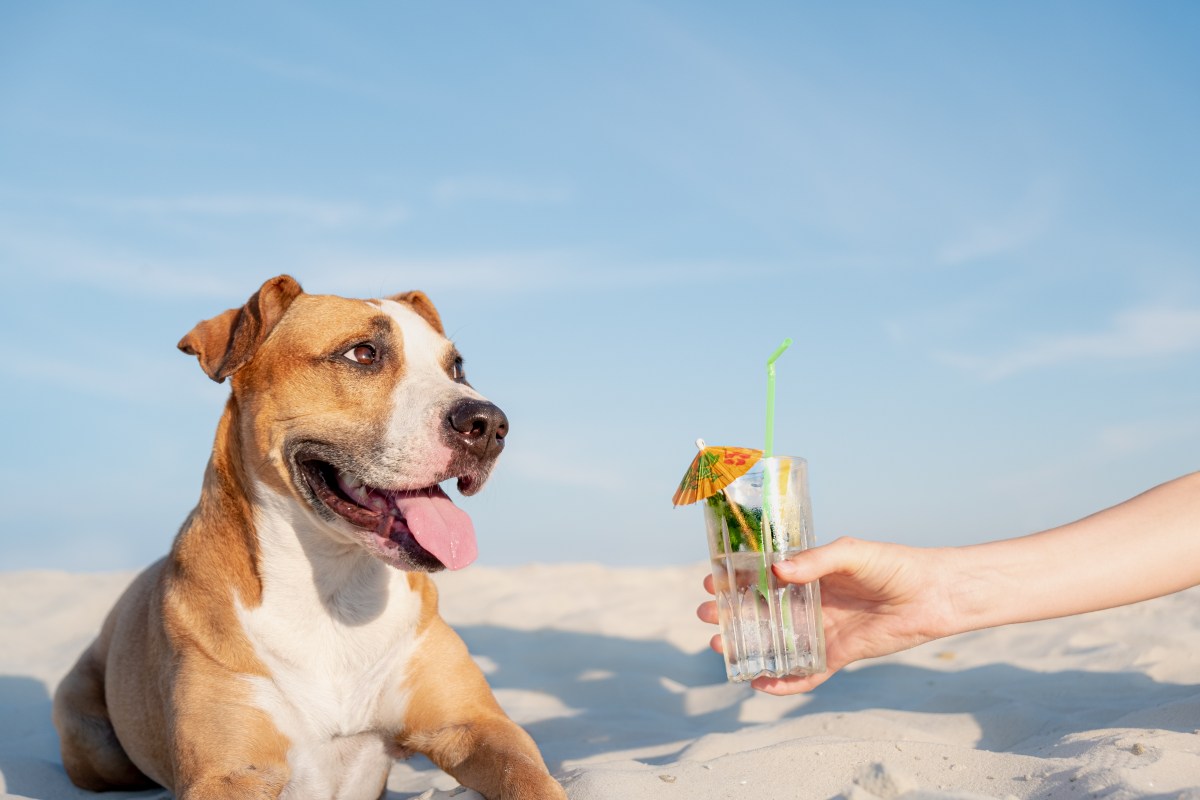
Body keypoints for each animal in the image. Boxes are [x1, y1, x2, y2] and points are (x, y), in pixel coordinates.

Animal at [51, 277, 566, 800]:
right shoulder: (227, 772)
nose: (489, 424)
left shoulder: (477, 725)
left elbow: (530, 779)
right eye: (363, 353)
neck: (335, 588)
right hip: (92, 741)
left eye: (457, 367)